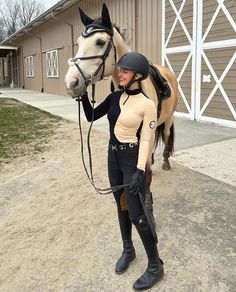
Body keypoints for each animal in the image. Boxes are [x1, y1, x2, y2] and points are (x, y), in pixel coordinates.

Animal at [63, 4, 178, 192]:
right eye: (78, 43)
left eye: (100, 42)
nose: (71, 82)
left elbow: (144, 173)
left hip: (168, 119)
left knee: (166, 135)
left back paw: (166, 162)